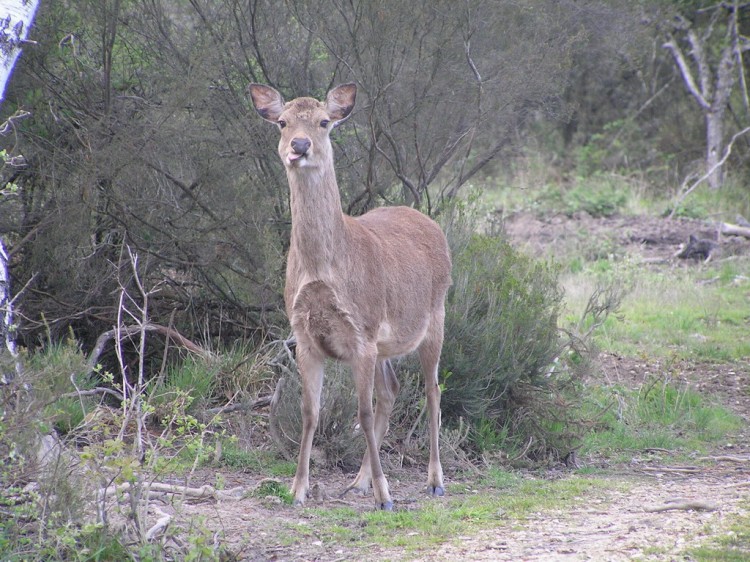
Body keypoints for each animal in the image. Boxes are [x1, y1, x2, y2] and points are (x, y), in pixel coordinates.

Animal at [250, 82, 456, 508]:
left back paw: (434, 480)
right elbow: (310, 412)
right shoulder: (305, 336)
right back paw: (358, 481)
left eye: (324, 122)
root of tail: (430, 223)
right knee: (391, 391)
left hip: (436, 317)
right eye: (282, 122)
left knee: (432, 391)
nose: (299, 145)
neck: (323, 270)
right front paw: (298, 489)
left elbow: (360, 413)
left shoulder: (362, 330)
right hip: (384, 345)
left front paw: (385, 496)